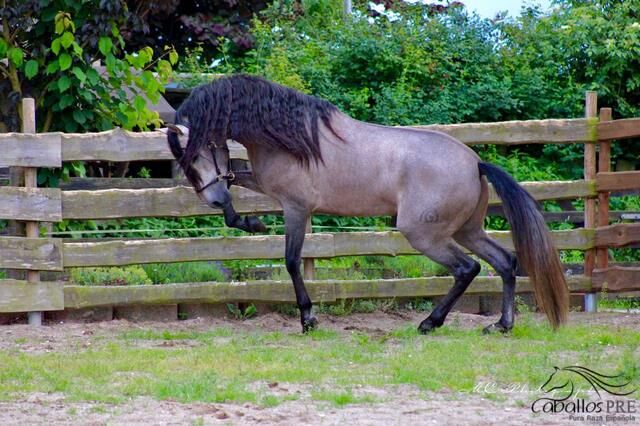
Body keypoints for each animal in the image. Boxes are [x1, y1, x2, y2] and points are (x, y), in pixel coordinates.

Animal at [166, 75, 568, 336]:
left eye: (199, 151)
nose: (212, 198)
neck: (292, 136)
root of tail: (475, 162)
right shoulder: (267, 188)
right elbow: (236, 191)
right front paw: (250, 223)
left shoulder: (296, 208)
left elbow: (292, 261)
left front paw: (308, 319)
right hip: (467, 230)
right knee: (504, 262)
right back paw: (500, 325)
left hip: (424, 234)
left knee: (467, 269)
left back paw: (430, 323)